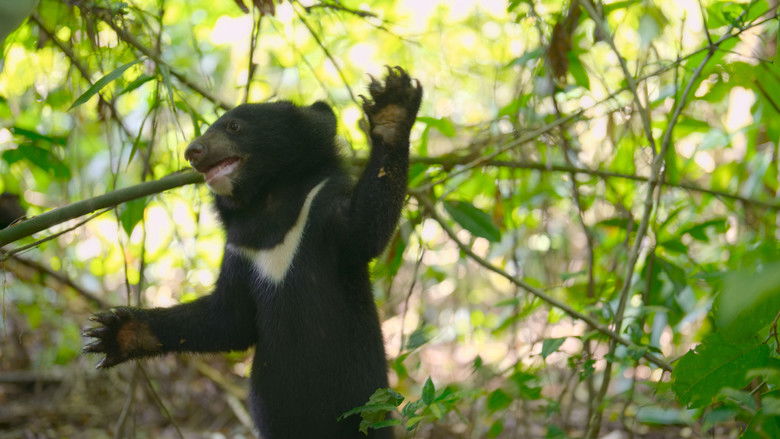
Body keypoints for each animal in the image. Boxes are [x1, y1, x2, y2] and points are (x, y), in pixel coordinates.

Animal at [83, 67, 422, 439]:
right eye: (208, 128)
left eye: (234, 126)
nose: (192, 150)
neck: (267, 204)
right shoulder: (239, 249)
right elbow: (230, 318)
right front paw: (114, 332)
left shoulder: (320, 210)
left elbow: (365, 229)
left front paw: (392, 106)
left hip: (367, 408)